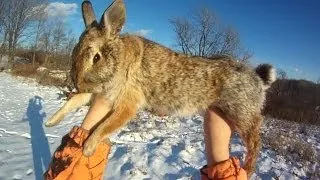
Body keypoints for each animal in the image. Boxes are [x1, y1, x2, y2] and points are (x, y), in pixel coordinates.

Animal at [44, 0, 276, 176]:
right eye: (75, 49)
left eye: (96, 57)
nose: (77, 83)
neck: (120, 59)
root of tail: (258, 79)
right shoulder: (97, 93)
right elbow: (73, 102)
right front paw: (51, 122)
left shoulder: (127, 103)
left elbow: (105, 126)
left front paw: (88, 147)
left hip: (241, 112)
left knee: (255, 141)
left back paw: (248, 168)